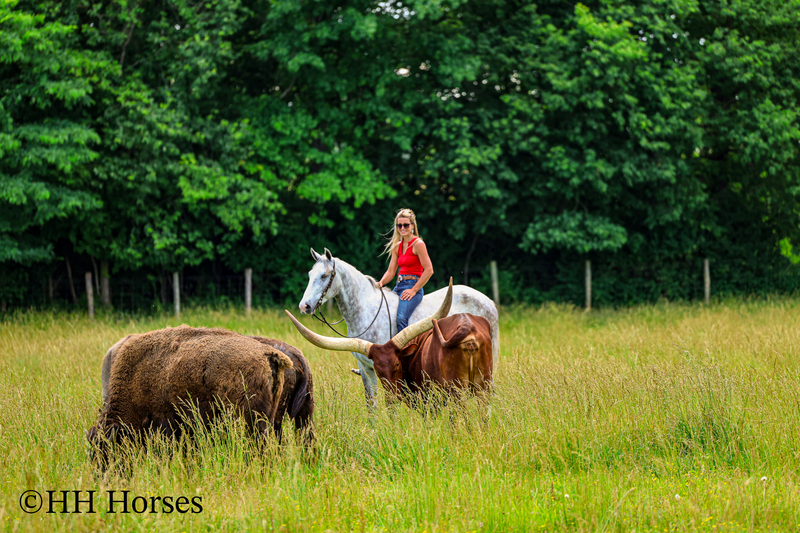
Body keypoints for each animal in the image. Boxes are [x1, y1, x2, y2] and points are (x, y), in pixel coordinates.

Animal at [297, 248, 499, 407]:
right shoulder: (366, 368)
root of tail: (489, 302)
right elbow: (371, 403)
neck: (366, 310)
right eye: (309, 275)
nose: (304, 306)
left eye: (324, 276)